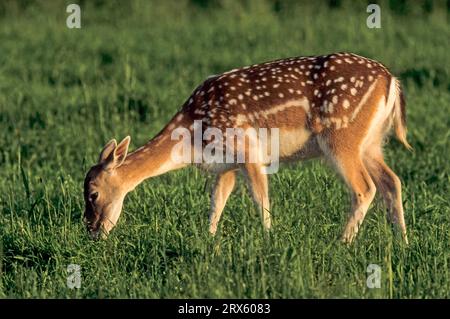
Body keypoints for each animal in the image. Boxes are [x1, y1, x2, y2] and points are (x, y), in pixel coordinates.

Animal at [84, 51, 412, 244]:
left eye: (93, 193)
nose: (91, 230)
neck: (191, 137)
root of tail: (391, 81)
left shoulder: (247, 148)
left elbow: (260, 198)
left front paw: (268, 240)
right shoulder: (226, 164)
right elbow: (216, 202)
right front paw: (208, 241)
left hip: (342, 136)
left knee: (364, 187)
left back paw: (341, 244)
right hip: (371, 143)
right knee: (392, 181)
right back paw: (403, 242)